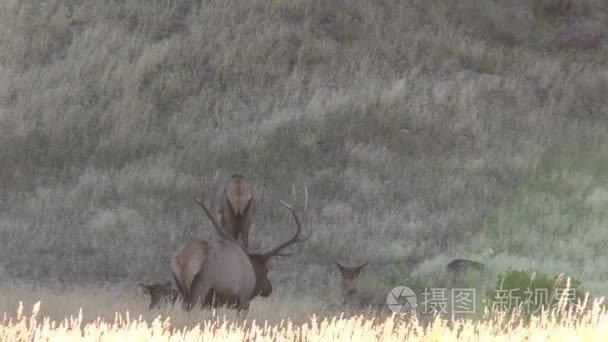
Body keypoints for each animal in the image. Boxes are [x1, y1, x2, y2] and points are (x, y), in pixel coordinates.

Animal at [172, 184, 312, 316]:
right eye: (267, 269)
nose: (269, 289)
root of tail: (184, 259)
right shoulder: (244, 299)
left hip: (181, 289)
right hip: (201, 286)